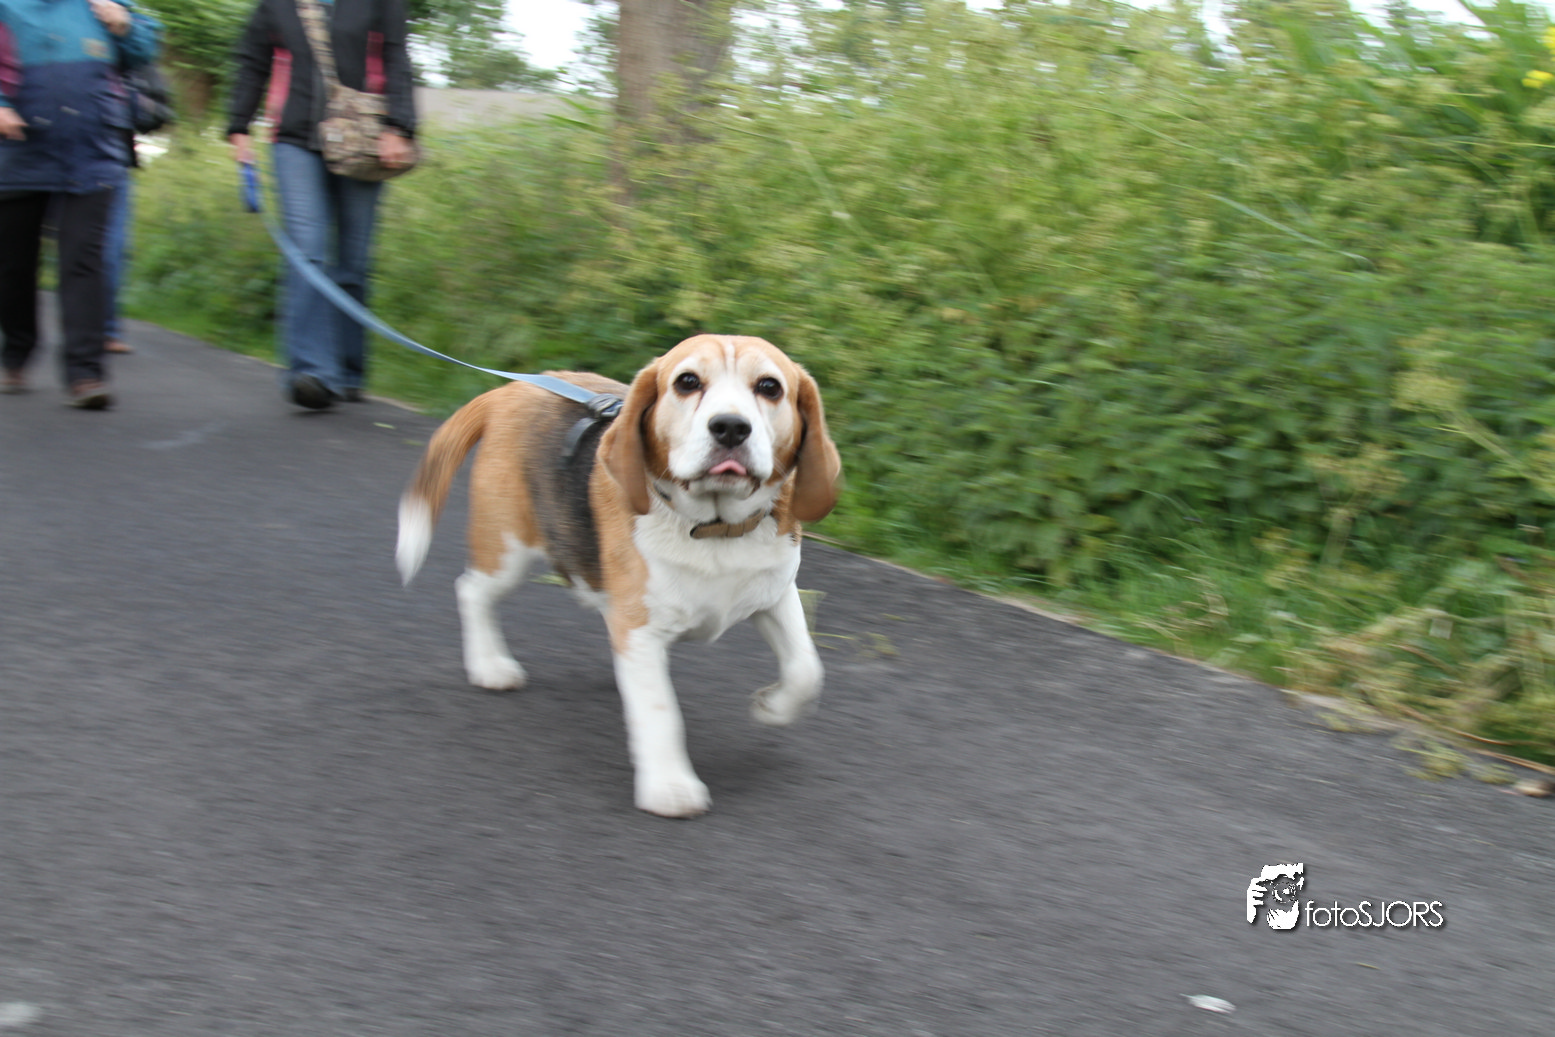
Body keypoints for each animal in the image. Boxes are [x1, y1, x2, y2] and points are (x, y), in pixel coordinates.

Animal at [396, 335, 843, 817]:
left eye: (769, 387)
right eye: (687, 382)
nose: (730, 428)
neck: (713, 529)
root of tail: (511, 391)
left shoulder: (775, 593)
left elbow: (806, 668)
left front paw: (773, 708)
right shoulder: (640, 630)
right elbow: (660, 709)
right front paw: (670, 786)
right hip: (507, 546)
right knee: (472, 590)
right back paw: (489, 664)